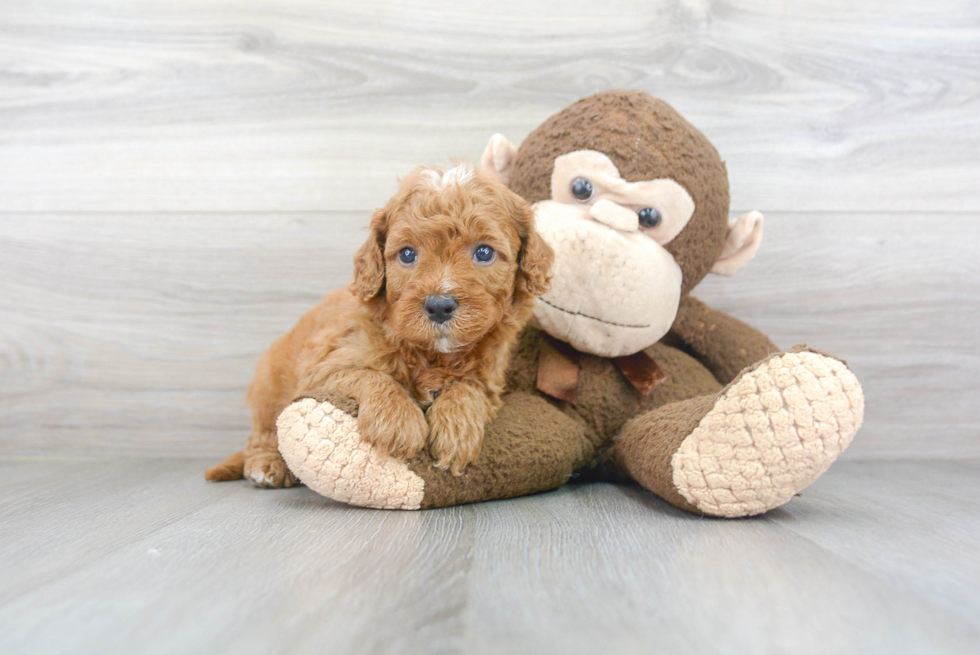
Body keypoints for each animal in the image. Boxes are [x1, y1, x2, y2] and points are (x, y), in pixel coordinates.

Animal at [208, 164, 556, 486]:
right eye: (407, 254)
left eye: (484, 252)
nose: (439, 306)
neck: (432, 355)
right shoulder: (324, 366)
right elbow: (371, 376)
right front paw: (399, 422)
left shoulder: (489, 379)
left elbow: (467, 388)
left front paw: (457, 430)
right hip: (268, 389)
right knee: (263, 434)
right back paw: (266, 464)